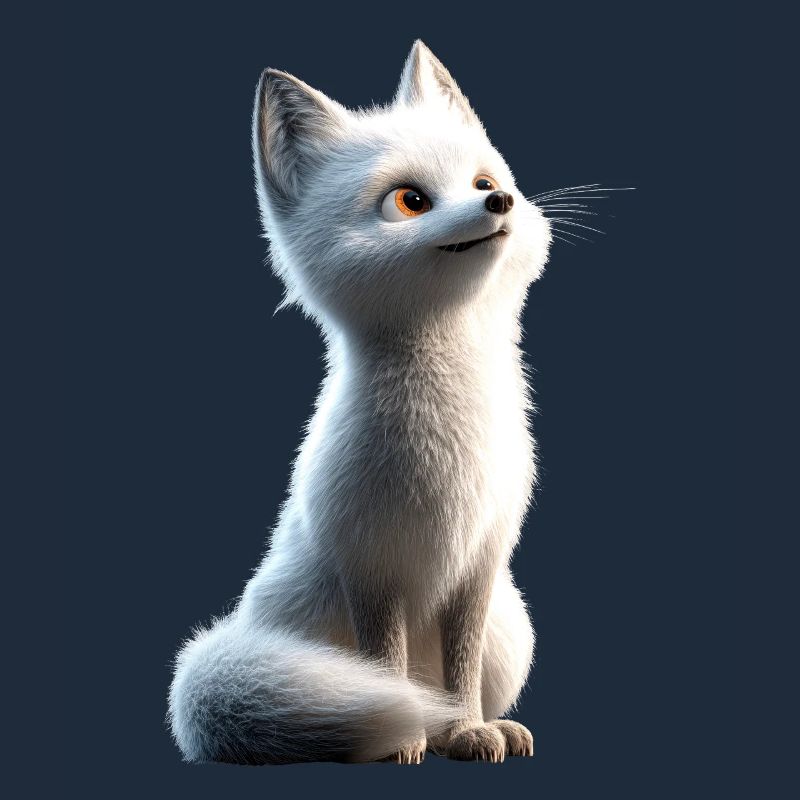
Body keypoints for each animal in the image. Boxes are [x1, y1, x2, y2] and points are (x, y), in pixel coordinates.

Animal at [168, 39, 553, 765]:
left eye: (482, 182)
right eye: (410, 200)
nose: (502, 201)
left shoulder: (482, 561)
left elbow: (459, 670)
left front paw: (467, 729)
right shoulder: (371, 566)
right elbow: (385, 664)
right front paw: (409, 738)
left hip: (511, 627)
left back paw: (489, 725)